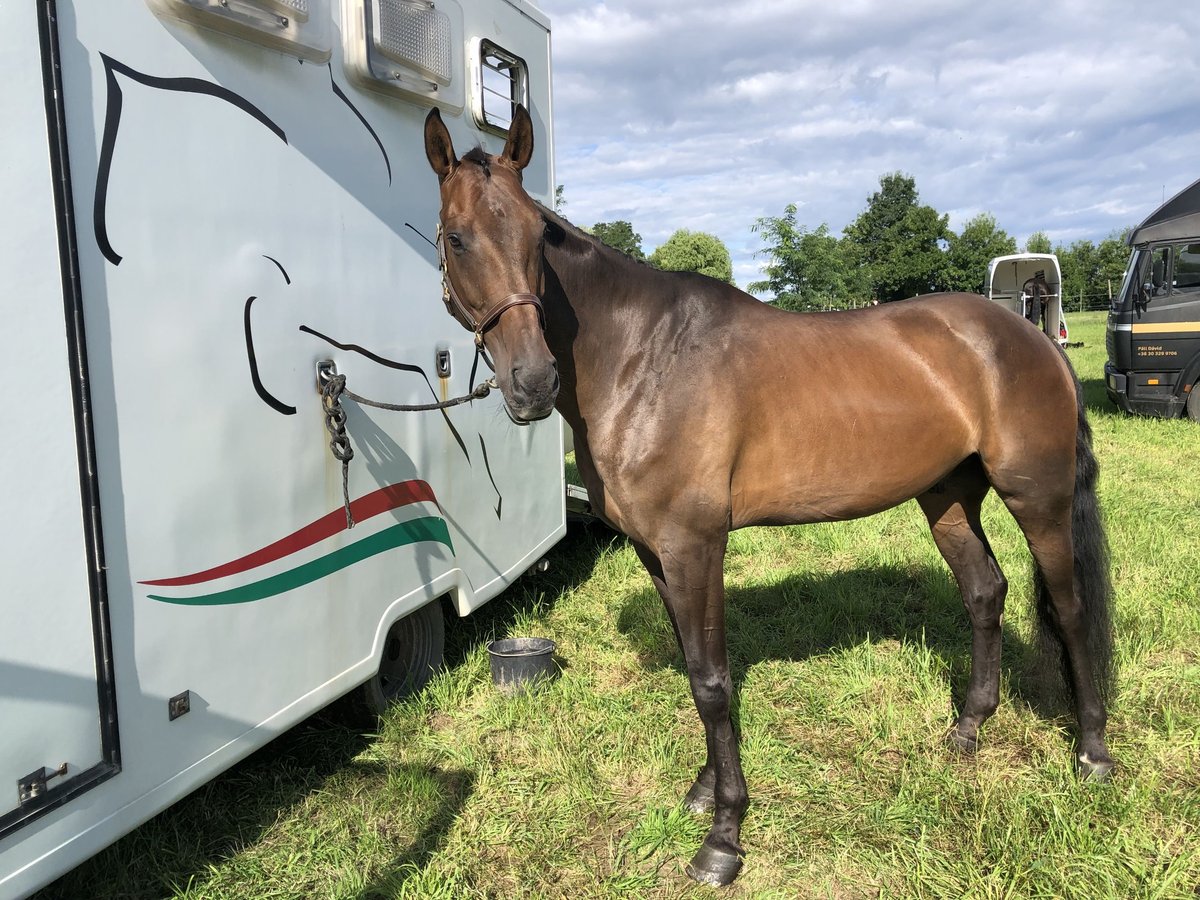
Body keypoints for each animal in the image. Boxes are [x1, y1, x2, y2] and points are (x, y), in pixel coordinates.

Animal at [424, 105, 1113, 888]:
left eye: (539, 236)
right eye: (457, 235)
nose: (533, 382)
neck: (641, 358)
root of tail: (1031, 333)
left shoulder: (695, 547)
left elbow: (713, 681)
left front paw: (723, 837)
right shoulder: (657, 553)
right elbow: (696, 669)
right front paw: (703, 791)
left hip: (1038, 499)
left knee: (1068, 608)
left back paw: (1092, 753)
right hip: (947, 499)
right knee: (985, 592)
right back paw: (968, 729)